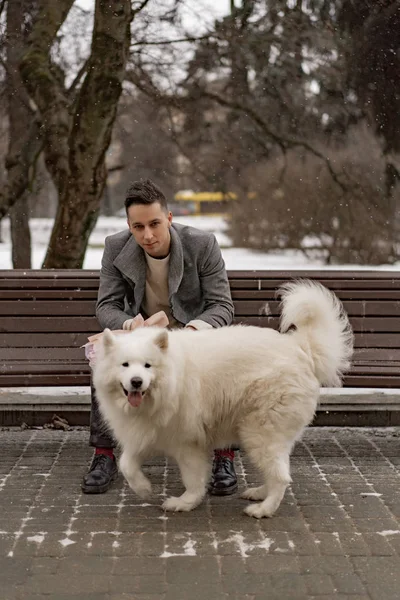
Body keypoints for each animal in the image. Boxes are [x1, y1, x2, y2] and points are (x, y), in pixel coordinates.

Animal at [92, 278, 352, 516]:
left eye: (147, 365)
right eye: (125, 365)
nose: (136, 382)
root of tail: (300, 348)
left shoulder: (187, 442)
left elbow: (193, 478)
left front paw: (185, 502)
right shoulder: (147, 432)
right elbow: (126, 464)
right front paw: (144, 489)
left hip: (258, 433)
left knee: (280, 477)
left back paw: (263, 509)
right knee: (278, 470)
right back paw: (259, 493)